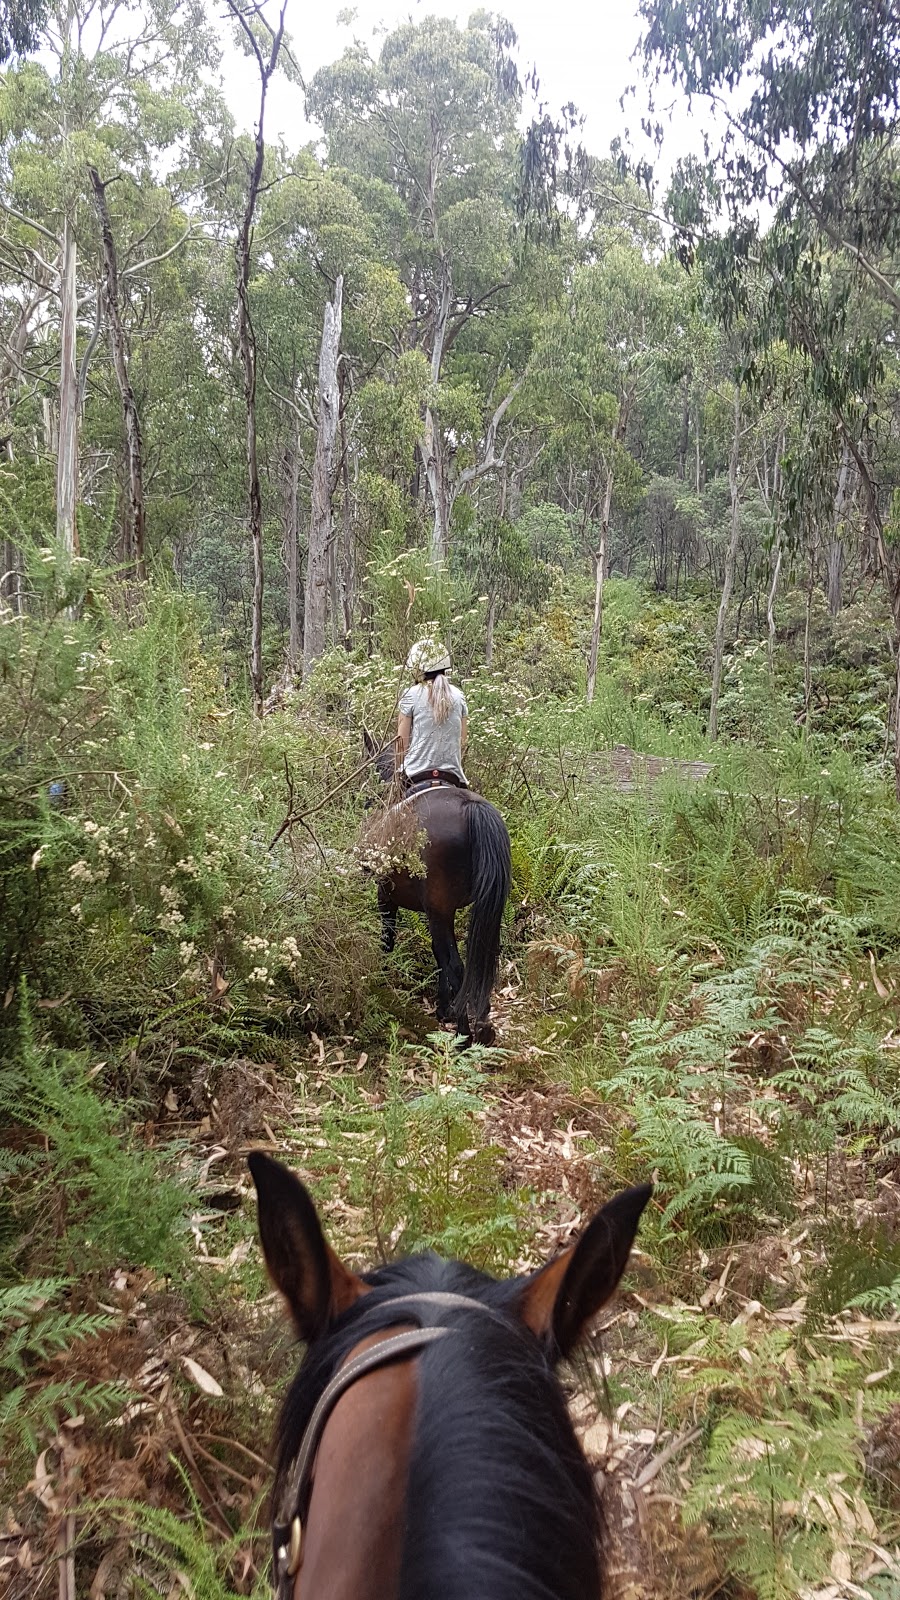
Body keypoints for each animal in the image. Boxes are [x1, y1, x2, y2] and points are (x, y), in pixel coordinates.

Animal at [360, 732, 509, 1043]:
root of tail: (471, 809)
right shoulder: (441, 910)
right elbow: (437, 952)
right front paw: (443, 1008)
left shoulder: (387, 895)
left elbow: (388, 939)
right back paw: (481, 1023)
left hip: (437, 908)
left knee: (457, 965)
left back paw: (464, 1036)